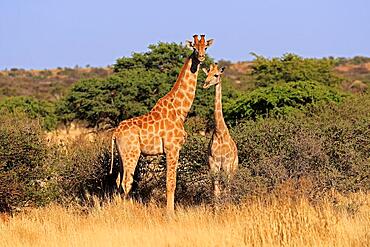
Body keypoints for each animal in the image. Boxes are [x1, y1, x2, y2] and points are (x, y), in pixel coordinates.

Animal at [110, 34, 212, 212]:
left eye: (205, 47)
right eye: (194, 48)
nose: (201, 57)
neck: (180, 110)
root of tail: (115, 133)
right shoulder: (172, 149)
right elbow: (171, 183)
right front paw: (170, 213)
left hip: (122, 155)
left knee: (118, 180)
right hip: (132, 153)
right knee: (126, 182)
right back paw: (128, 212)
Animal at [201, 63, 238, 199]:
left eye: (216, 75)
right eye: (207, 74)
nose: (205, 84)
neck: (219, 132)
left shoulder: (226, 164)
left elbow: (226, 191)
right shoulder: (213, 164)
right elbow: (217, 192)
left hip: (233, 167)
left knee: (229, 186)